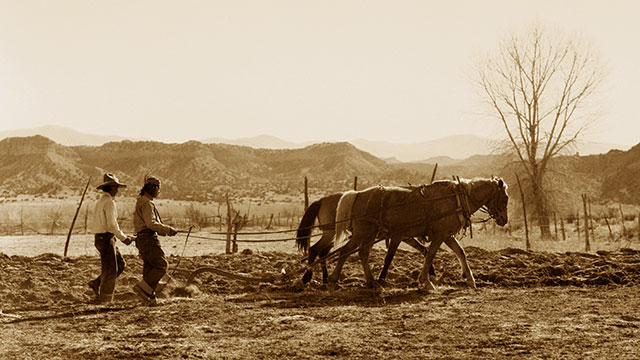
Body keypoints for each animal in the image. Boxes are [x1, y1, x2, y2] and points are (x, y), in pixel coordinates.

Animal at [328, 179, 508, 292]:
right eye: (505, 198)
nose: (504, 220)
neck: (457, 199)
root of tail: (358, 194)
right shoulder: (439, 235)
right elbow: (430, 255)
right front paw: (426, 282)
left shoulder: (447, 235)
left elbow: (460, 253)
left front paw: (471, 280)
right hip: (363, 233)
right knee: (347, 251)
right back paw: (335, 280)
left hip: (369, 234)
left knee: (362, 253)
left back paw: (372, 283)